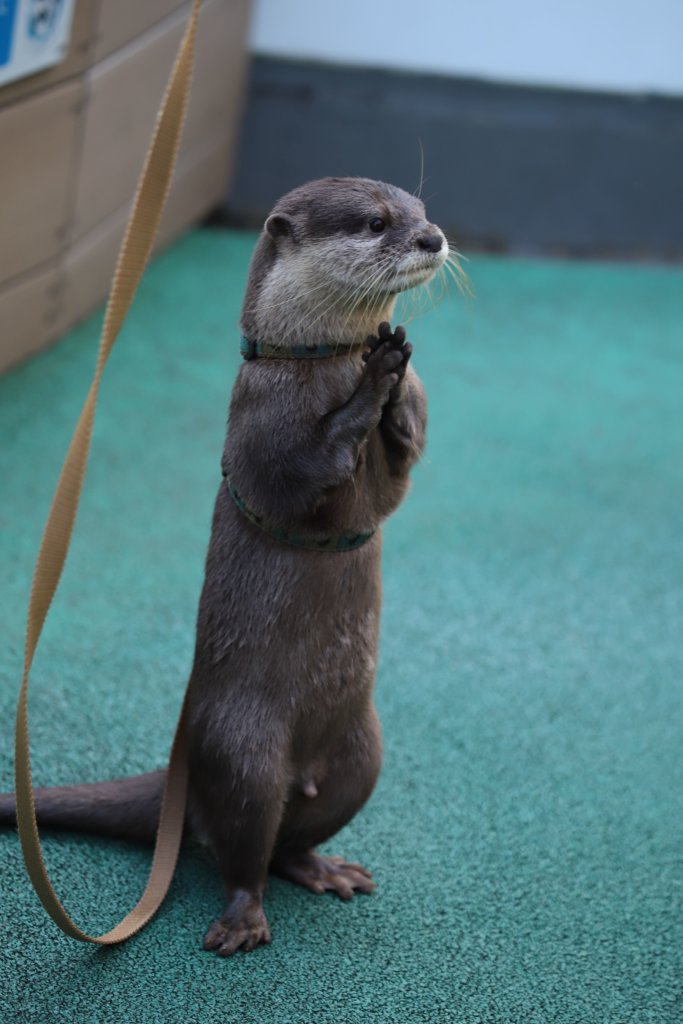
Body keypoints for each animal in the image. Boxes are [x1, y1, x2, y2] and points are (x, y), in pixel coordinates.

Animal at [1, 180, 454, 954]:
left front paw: (392, 368)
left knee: (287, 840)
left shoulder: (398, 458)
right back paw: (242, 920)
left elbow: (399, 473)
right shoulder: (258, 418)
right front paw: (373, 380)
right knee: (242, 845)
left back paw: (321, 867)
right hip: (242, 748)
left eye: (420, 211)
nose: (434, 238)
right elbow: (297, 474)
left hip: (362, 757)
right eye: (375, 223)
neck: (315, 363)